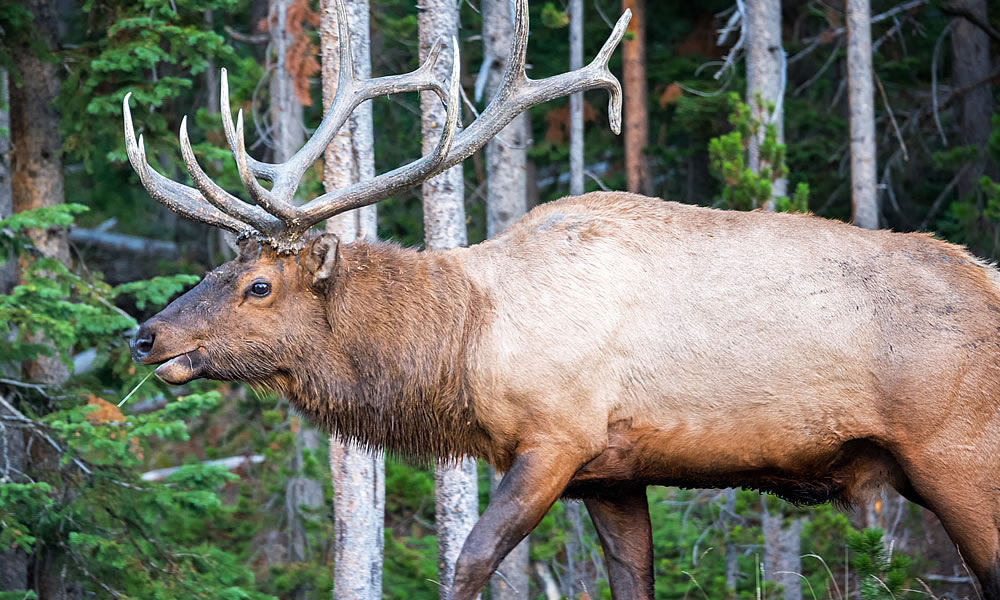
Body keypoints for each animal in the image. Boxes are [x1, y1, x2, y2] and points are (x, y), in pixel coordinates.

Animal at [123, 1, 1000, 600]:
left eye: (258, 284)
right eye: (221, 269)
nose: (147, 336)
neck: (464, 346)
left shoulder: (555, 438)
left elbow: (468, 560)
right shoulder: (610, 474)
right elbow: (631, 581)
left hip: (957, 453)